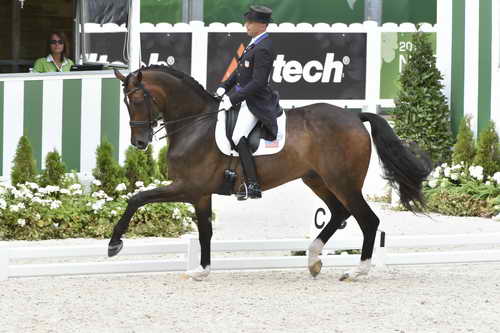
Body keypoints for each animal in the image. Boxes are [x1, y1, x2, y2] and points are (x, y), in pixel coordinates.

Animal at [110, 65, 434, 280]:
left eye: (137, 100)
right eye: (125, 102)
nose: (139, 143)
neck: (195, 123)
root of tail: (355, 117)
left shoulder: (187, 186)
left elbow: (137, 198)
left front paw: (114, 245)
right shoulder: (199, 193)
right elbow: (204, 232)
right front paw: (202, 270)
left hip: (343, 181)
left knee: (368, 220)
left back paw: (357, 271)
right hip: (317, 179)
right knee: (339, 213)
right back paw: (314, 259)